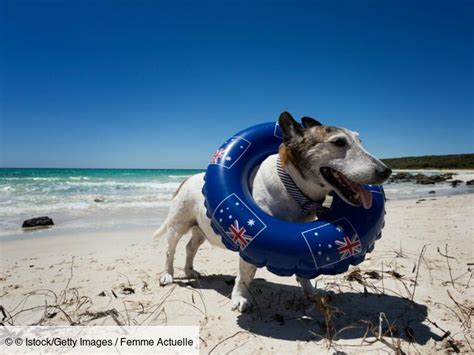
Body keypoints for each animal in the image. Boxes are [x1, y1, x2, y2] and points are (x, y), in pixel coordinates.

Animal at [154, 112, 390, 312]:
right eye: (339, 142)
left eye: (360, 141)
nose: (386, 171)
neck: (292, 187)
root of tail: (186, 179)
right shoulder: (251, 244)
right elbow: (245, 274)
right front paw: (239, 297)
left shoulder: (300, 247)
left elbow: (304, 270)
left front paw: (311, 293)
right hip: (177, 225)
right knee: (170, 250)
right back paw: (167, 275)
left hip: (201, 229)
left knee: (190, 247)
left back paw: (190, 271)